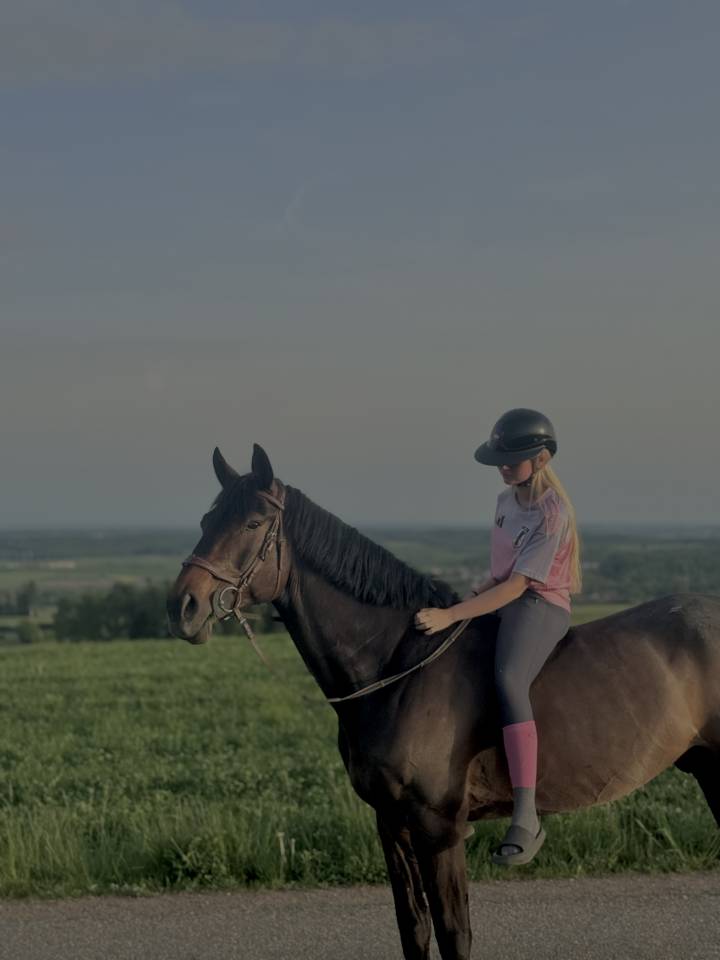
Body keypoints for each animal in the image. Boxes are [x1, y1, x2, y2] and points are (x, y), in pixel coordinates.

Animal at [166, 443, 720, 960]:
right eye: (207, 520)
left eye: (252, 522)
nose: (182, 606)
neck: (396, 668)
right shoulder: (391, 825)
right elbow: (414, 929)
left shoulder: (439, 829)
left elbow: (455, 933)